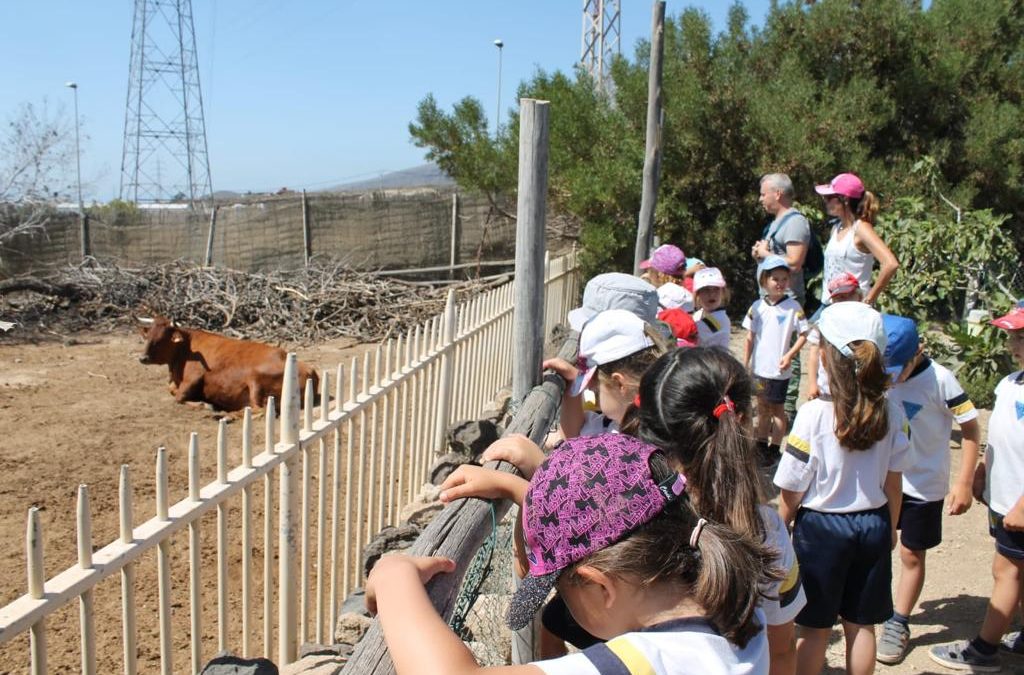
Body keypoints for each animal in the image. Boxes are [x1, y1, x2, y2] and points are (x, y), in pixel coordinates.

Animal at [138, 317, 317, 411]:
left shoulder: (194, 378)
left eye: (162, 339)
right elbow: (172, 391)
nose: (142, 358)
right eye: (148, 336)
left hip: (255, 380)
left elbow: (178, 397)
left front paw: (205, 404)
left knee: (258, 409)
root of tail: (309, 369)